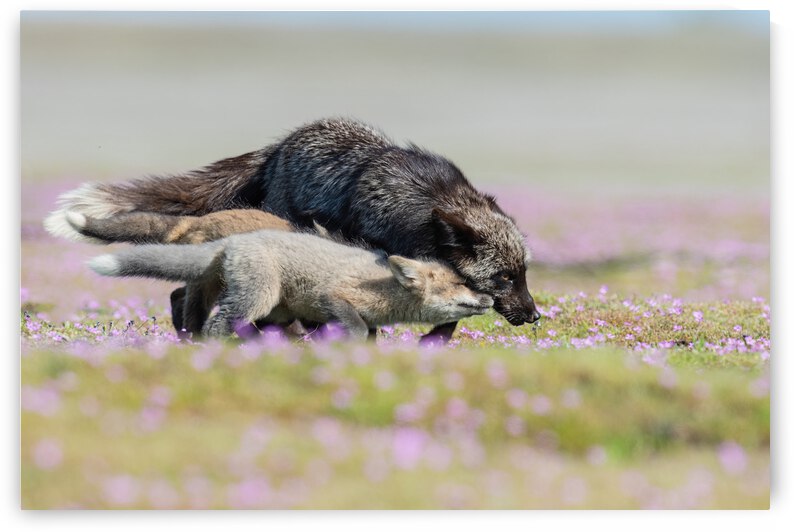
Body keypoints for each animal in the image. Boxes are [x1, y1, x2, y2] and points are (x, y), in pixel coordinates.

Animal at [87, 230, 495, 341]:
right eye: (461, 282)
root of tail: (235, 240)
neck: (386, 290)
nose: (491, 298)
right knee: (219, 323)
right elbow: (357, 329)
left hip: (274, 310)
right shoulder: (334, 296)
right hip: (258, 297)